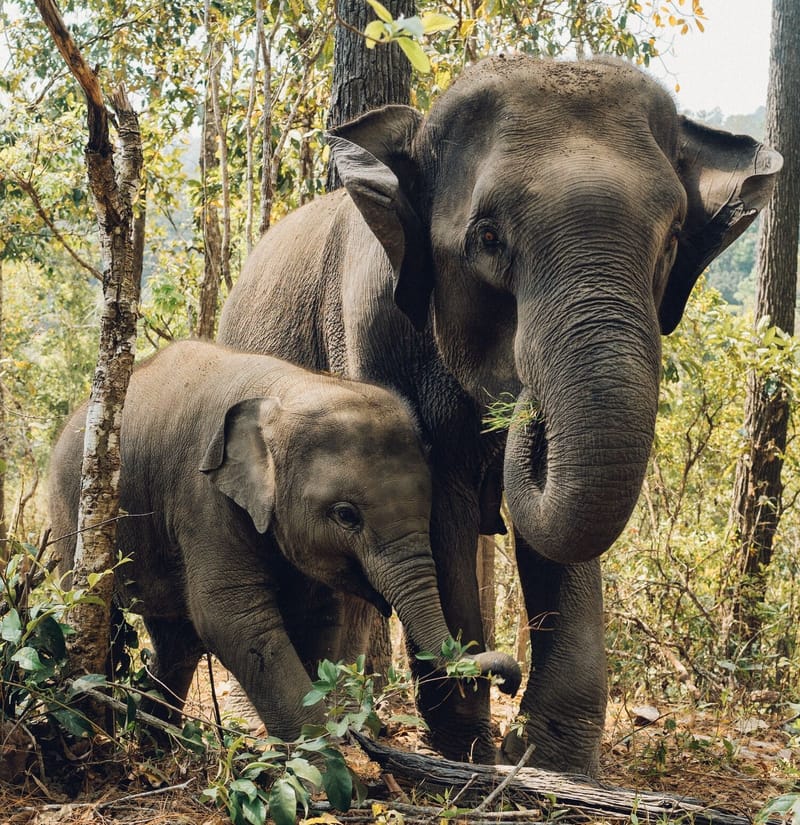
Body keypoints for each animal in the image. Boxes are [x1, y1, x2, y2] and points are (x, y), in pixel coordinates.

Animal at [48, 342, 520, 748]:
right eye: (346, 515)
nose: (508, 681)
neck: (287, 391)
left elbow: (317, 617)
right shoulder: (203, 497)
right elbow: (230, 617)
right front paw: (330, 774)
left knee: (177, 640)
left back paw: (159, 745)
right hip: (72, 514)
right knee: (100, 616)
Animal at [216, 58, 780, 772]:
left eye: (674, 239)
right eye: (487, 237)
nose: (525, 405)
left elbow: (559, 532)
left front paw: (548, 761)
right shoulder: (374, 331)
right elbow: (441, 508)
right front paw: (471, 752)